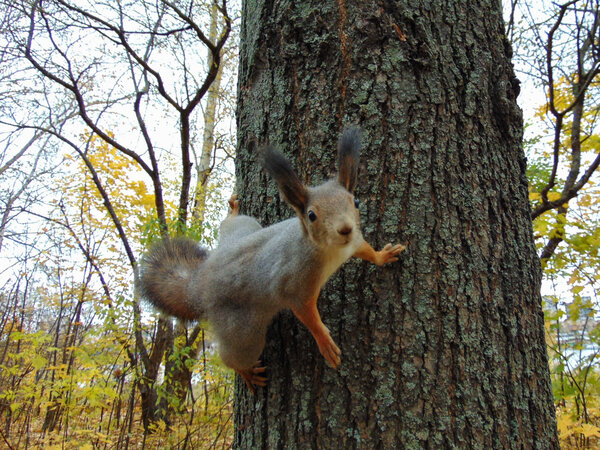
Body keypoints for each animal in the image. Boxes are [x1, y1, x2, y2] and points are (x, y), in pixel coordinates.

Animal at [138, 127, 406, 394]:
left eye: (356, 202)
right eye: (311, 215)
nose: (345, 229)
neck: (329, 250)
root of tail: (199, 282)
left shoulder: (354, 243)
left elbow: (366, 250)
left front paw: (383, 255)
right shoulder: (296, 282)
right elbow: (307, 313)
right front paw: (325, 342)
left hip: (244, 228)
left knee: (231, 224)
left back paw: (233, 211)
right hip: (243, 330)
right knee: (234, 355)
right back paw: (245, 371)